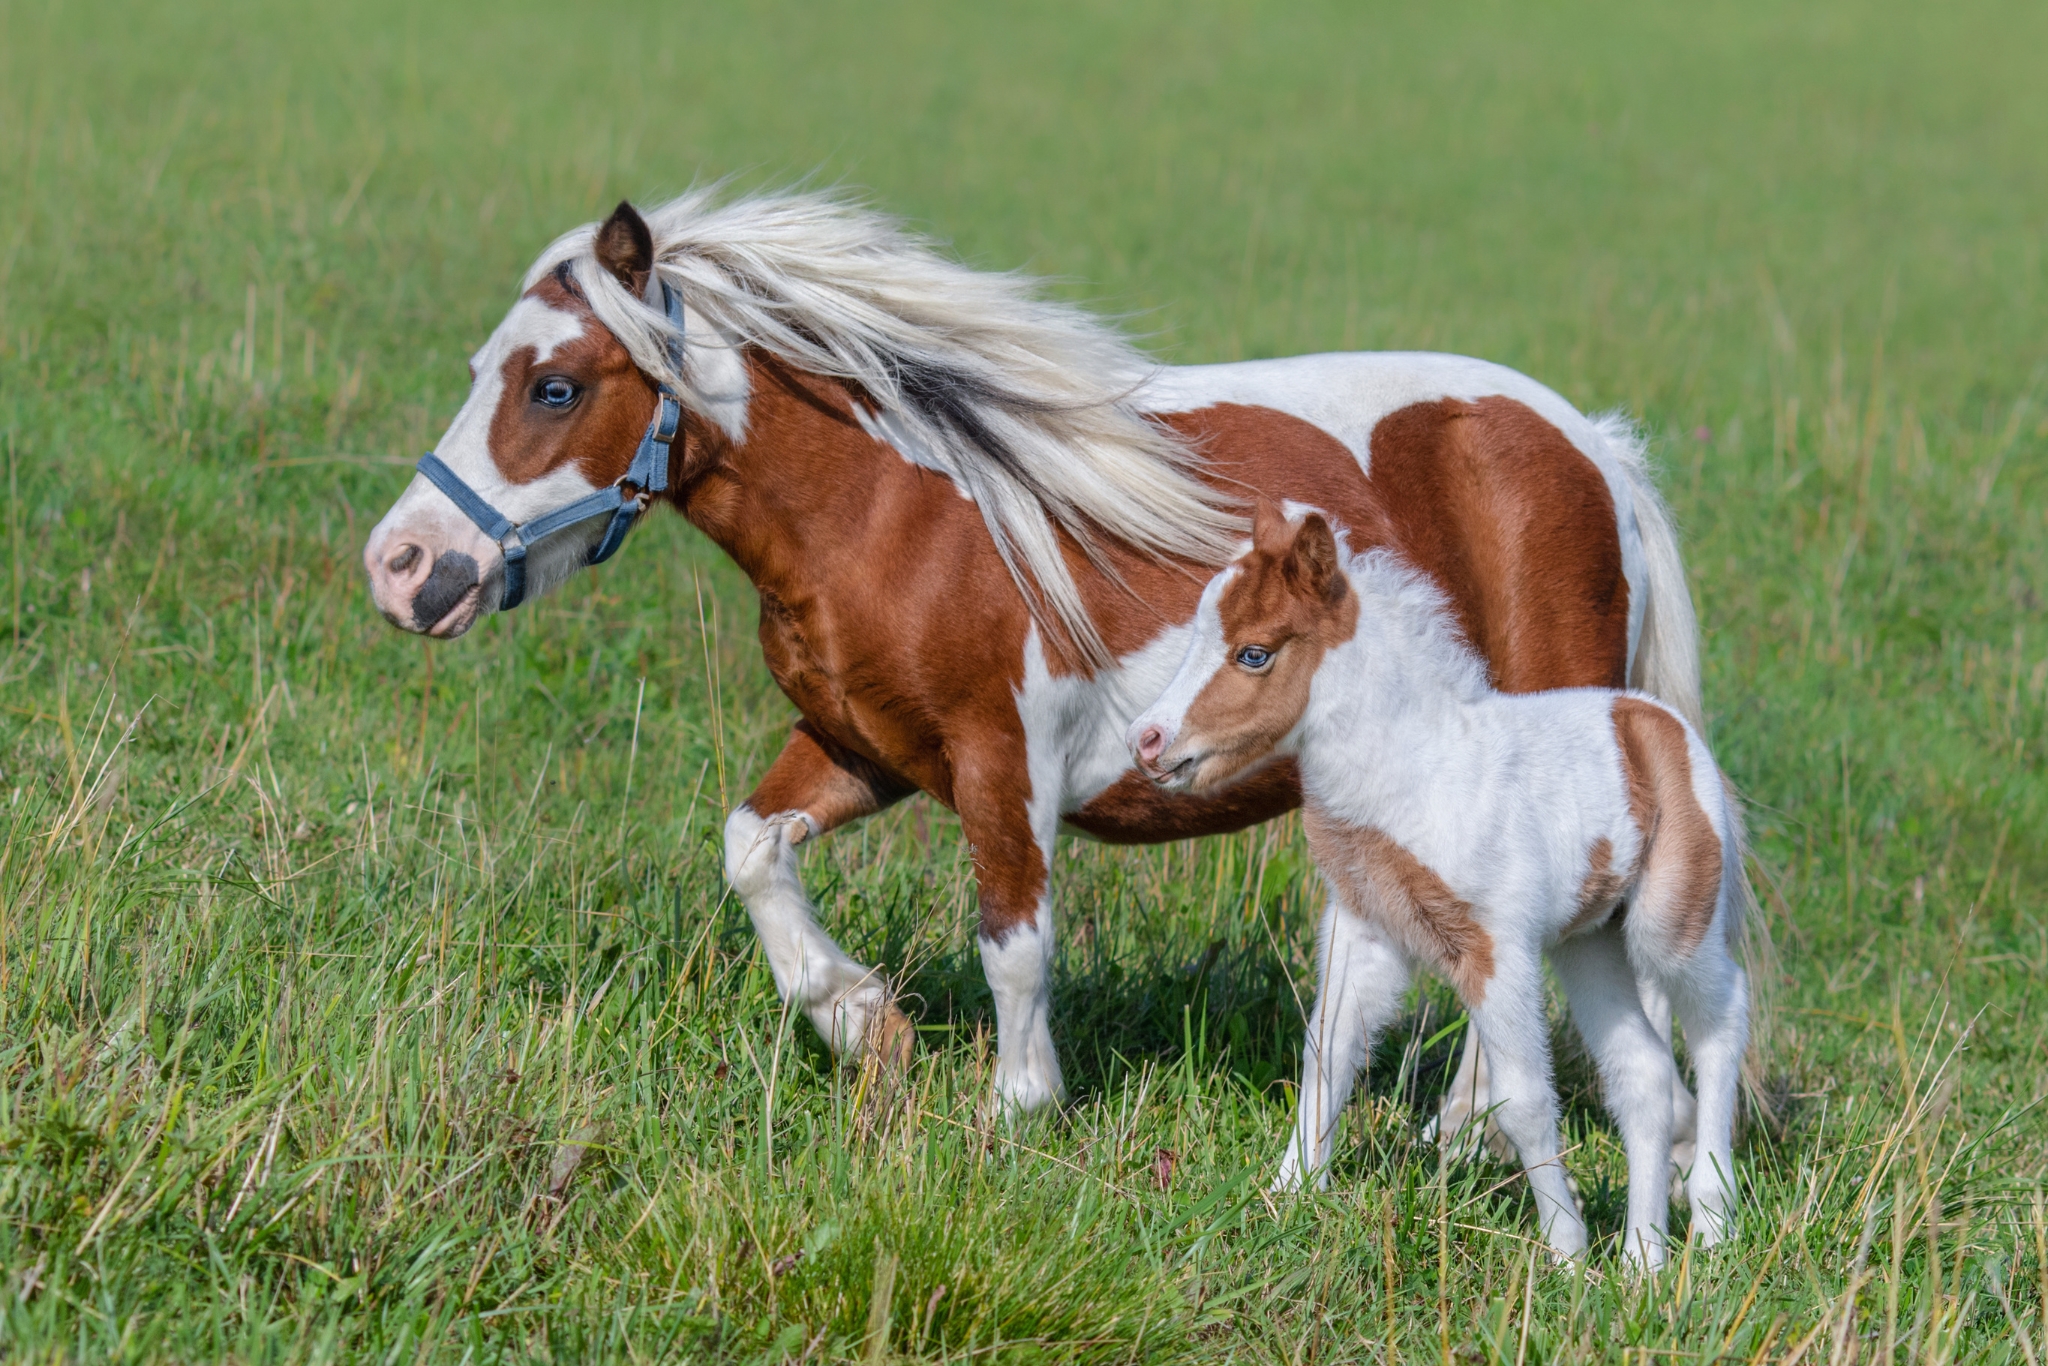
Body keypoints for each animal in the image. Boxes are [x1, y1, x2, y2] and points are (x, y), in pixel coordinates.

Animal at [363, 189, 1706, 1127]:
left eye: (551, 385)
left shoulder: (999, 760)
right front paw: (864, 1027)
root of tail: (1588, 444)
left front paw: (1017, 1106)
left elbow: (1013, 939)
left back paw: (1464, 1132)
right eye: (484, 368)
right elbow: (750, 849)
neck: (897, 507)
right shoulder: (861, 746)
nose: (403, 566)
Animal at [1127, 502, 1747, 1265]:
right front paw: (1284, 1197)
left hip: (1671, 925)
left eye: (1254, 653)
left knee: (1721, 1018)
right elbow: (1328, 1051)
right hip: (1588, 944)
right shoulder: (1364, 926)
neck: (1416, 771)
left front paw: (1566, 1253)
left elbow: (1522, 1098)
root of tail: (1661, 721)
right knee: (1643, 1074)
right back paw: (1642, 1262)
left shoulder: (1495, 947)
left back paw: (1712, 1218)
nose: (1146, 741)